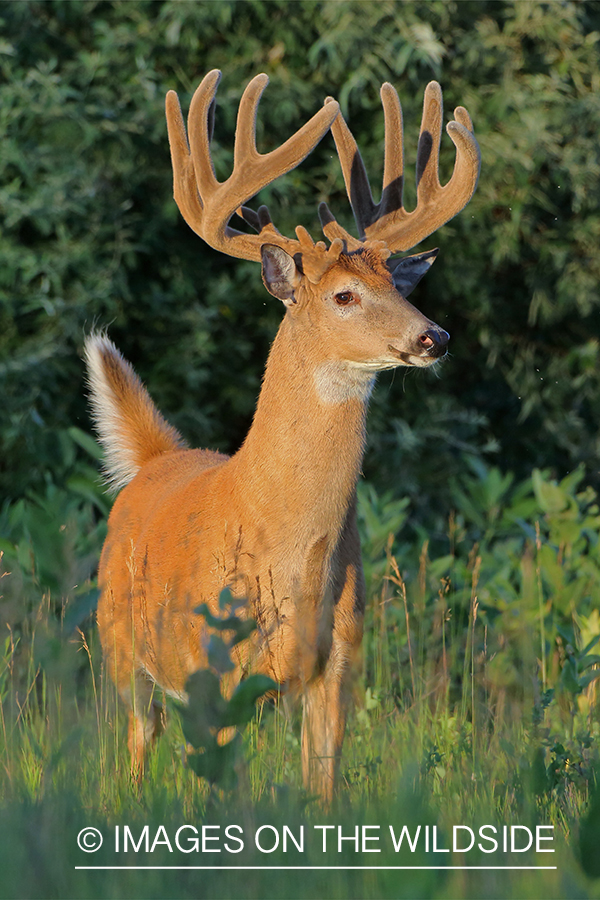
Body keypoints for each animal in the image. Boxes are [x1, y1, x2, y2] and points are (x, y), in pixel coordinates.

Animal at [84, 68, 480, 800]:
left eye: (398, 283)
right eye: (344, 296)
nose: (433, 337)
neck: (292, 547)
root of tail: (158, 459)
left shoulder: (339, 662)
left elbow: (322, 791)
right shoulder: (216, 670)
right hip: (121, 649)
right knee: (137, 746)